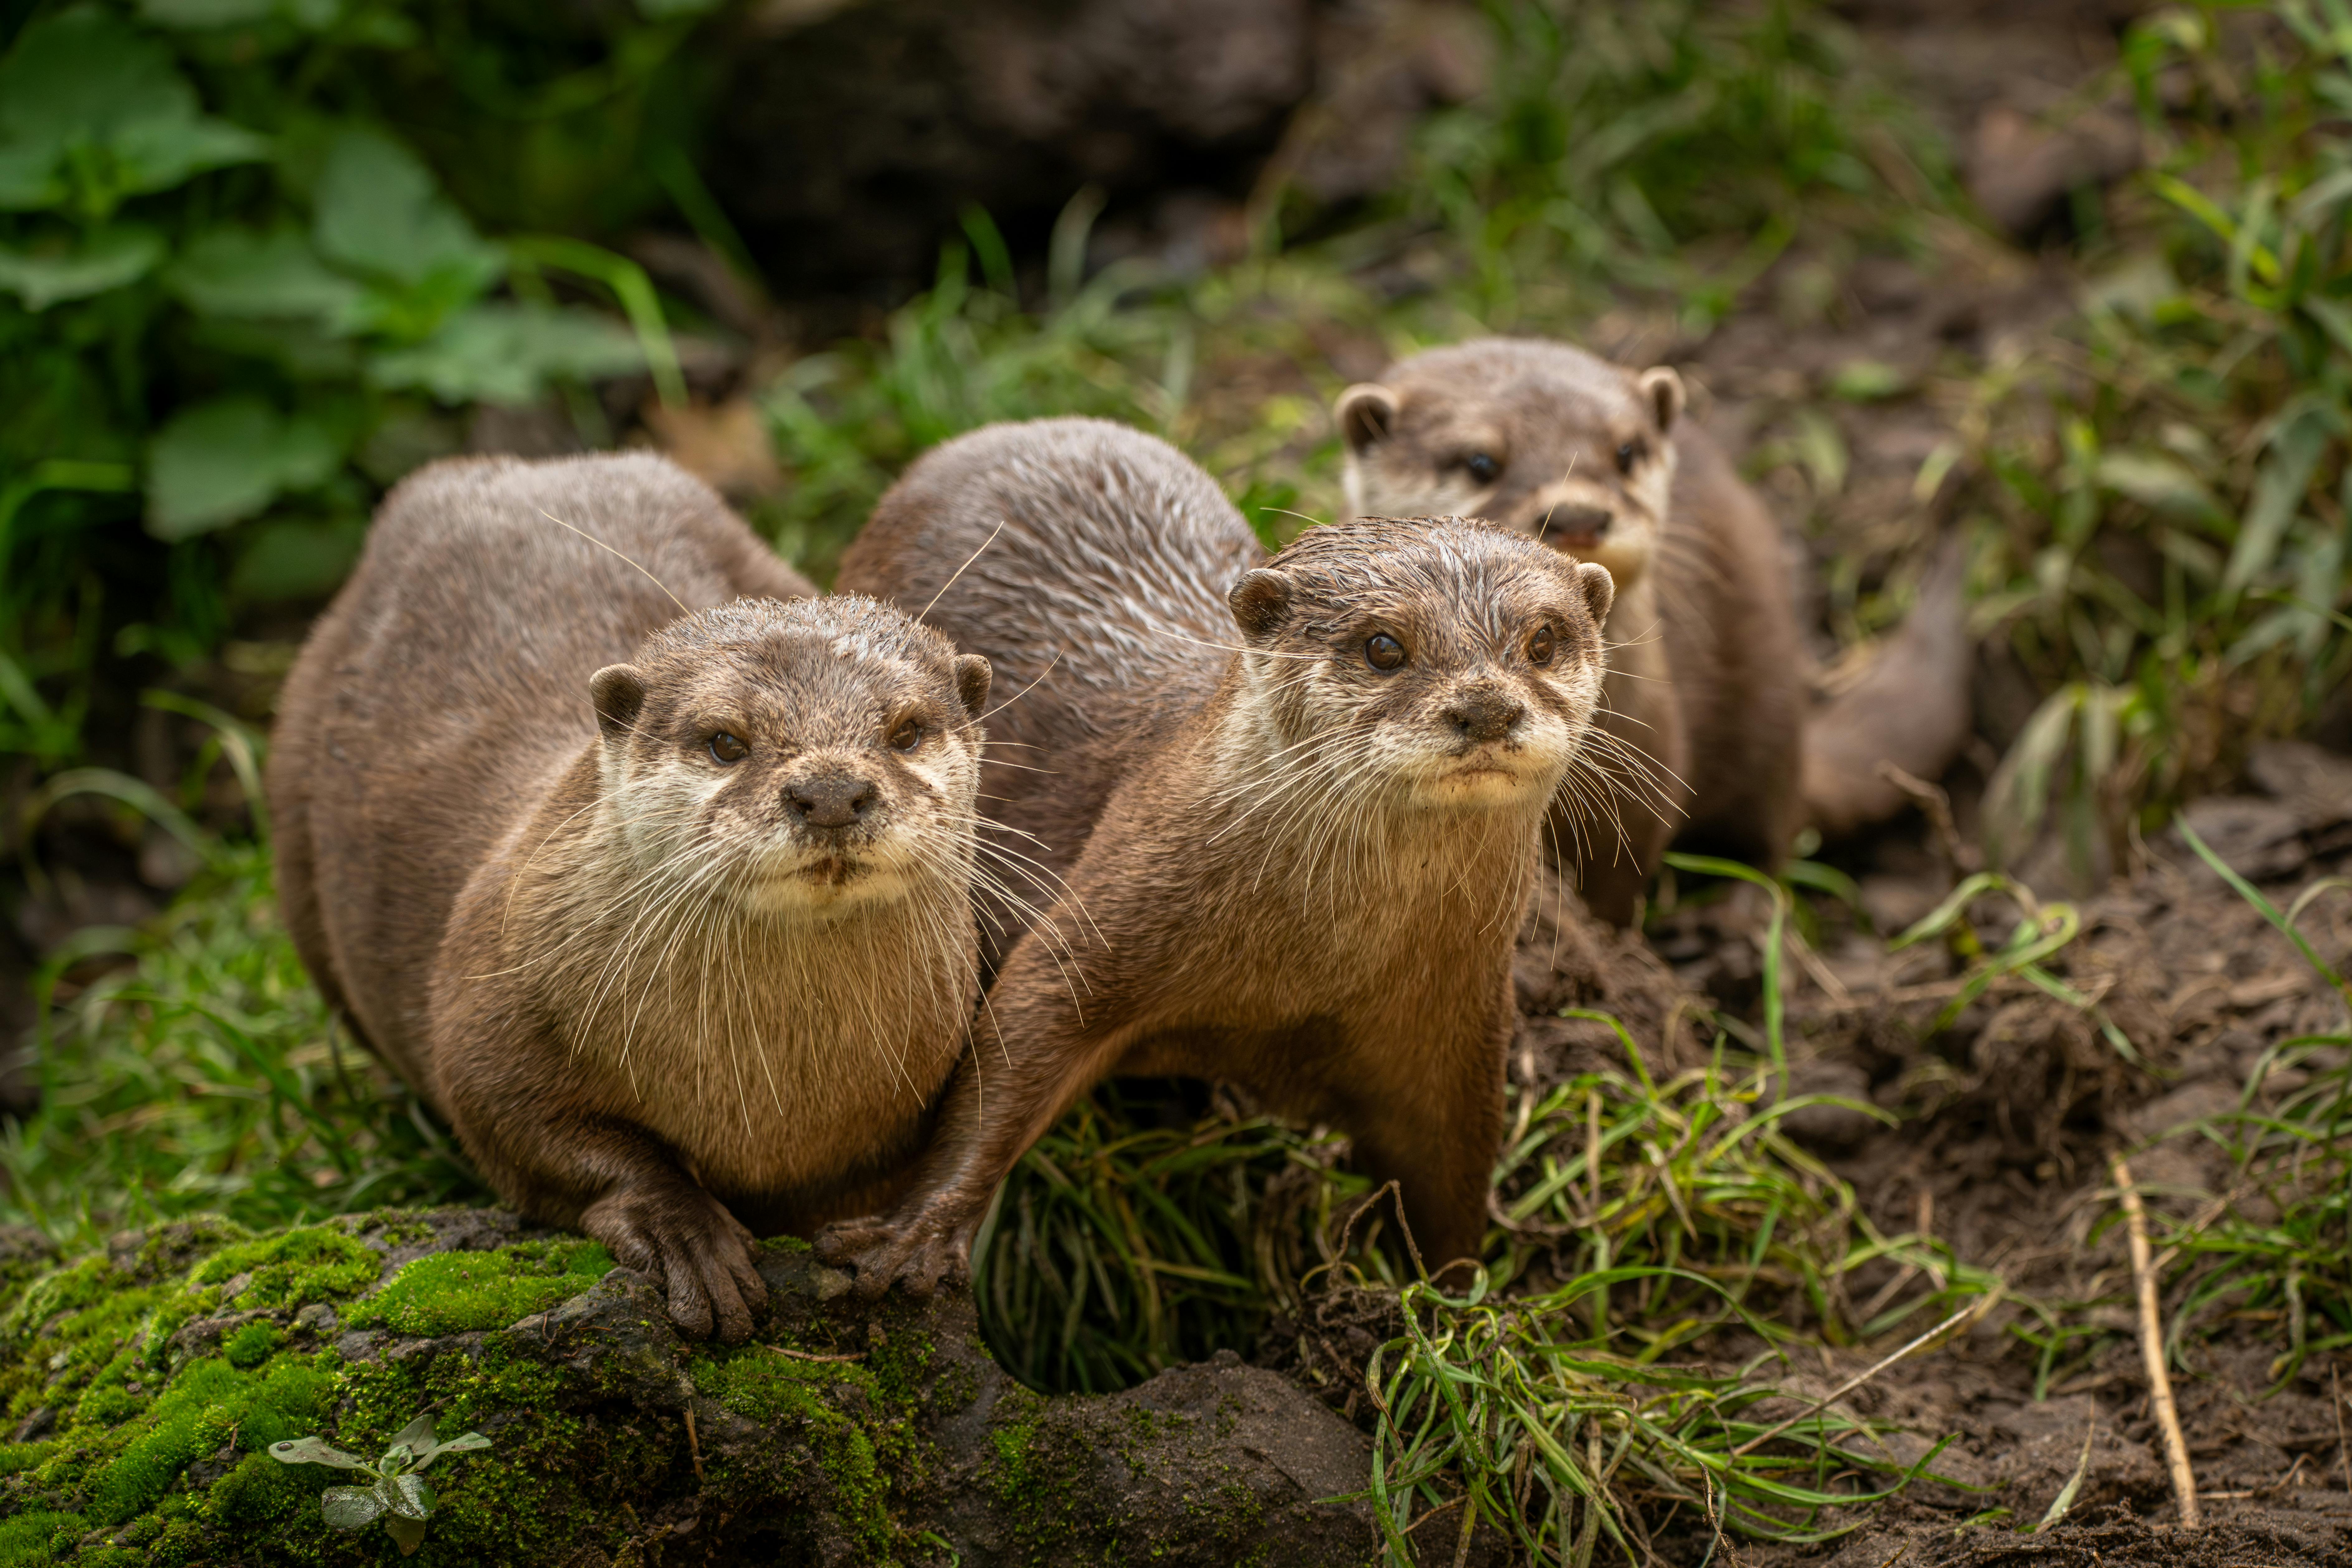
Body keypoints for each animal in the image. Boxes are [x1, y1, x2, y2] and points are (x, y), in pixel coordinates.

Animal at [268, 453, 992, 1341]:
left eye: (907, 731)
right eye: (725, 741)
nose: (829, 790)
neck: (768, 1098)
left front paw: (906, 1240)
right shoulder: (487, 1016)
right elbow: (539, 1134)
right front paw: (686, 1237)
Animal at [823, 417, 1616, 1292]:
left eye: (1542, 639)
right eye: (1383, 646)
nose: (1486, 706)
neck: (1303, 972)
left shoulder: (1459, 1025)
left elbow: (1452, 1172)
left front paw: (1454, 1296)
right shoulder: (1105, 917)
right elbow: (1010, 1054)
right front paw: (914, 1234)